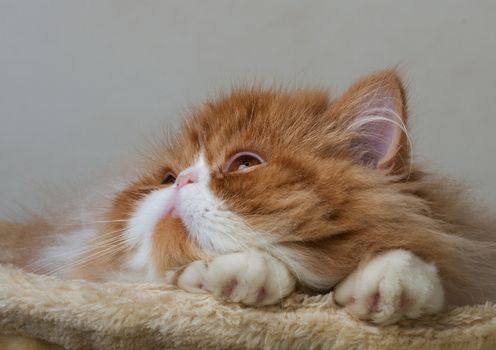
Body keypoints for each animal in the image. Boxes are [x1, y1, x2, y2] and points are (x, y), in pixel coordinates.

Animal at [1, 70, 494, 326]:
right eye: (165, 177)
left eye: (244, 164)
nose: (181, 181)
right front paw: (239, 276)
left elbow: (419, 264)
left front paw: (391, 288)